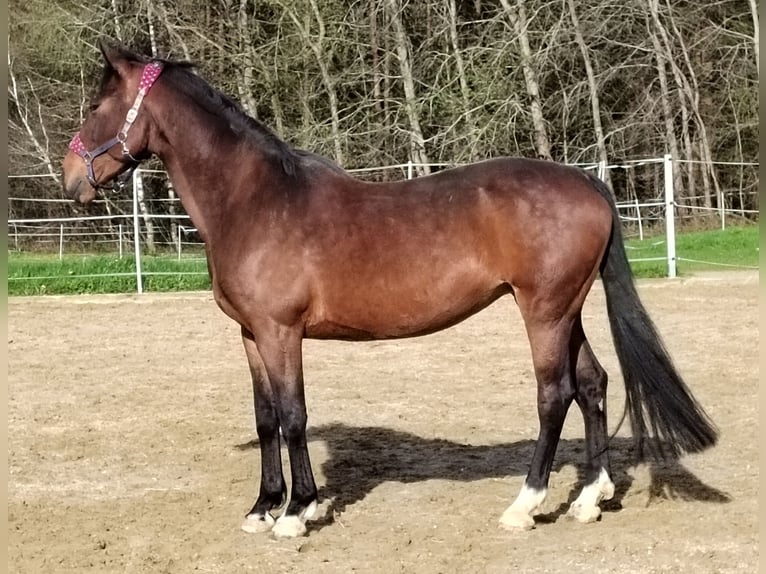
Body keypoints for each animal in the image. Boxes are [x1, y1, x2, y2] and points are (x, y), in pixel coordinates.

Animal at [62, 42, 717, 538]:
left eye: (95, 104)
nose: (70, 180)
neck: (256, 201)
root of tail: (589, 184)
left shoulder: (281, 332)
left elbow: (295, 415)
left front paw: (296, 513)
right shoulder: (251, 334)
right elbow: (266, 417)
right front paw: (262, 507)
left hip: (544, 312)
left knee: (554, 395)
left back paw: (524, 506)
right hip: (566, 310)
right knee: (593, 384)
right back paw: (588, 499)